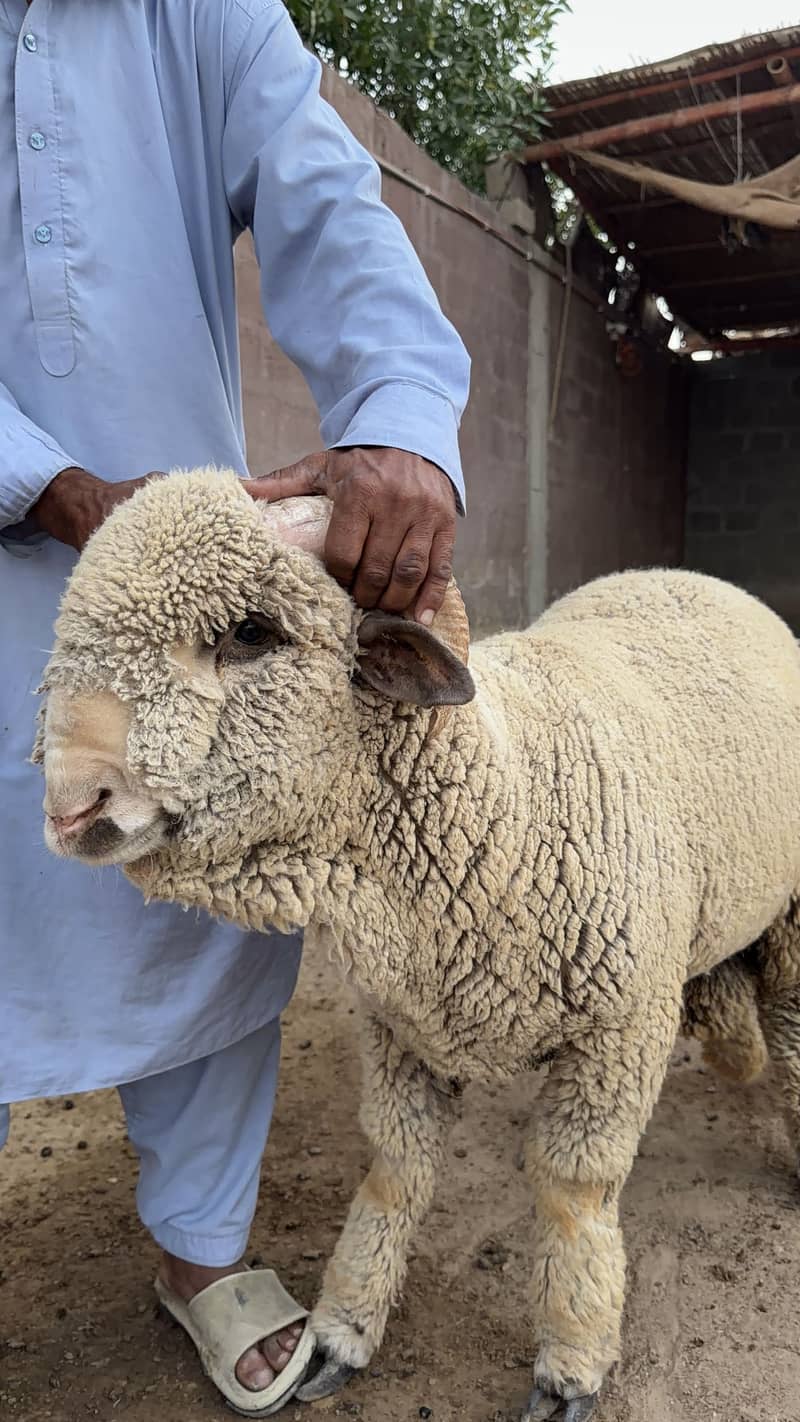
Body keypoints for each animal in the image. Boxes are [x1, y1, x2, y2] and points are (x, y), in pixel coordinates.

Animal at [37, 467, 800, 1422]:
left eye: (250, 633)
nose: (71, 806)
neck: (508, 809)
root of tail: (680, 574)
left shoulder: (617, 1036)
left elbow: (573, 1190)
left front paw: (572, 1362)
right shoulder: (397, 1030)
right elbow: (396, 1168)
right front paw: (340, 1332)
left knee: (792, 1035)